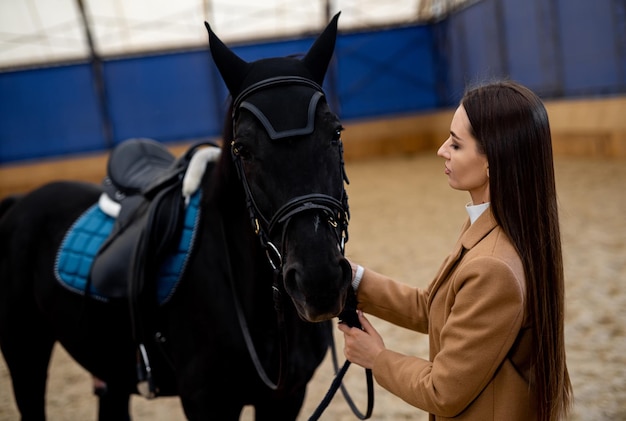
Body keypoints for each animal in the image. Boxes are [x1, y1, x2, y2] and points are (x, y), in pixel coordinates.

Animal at [0, 13, 352, 420]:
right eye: (242, 149)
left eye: (336, 132)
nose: (318, 281)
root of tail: (20, 202)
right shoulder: (206, 400)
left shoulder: (287, 397)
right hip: (25, 353)